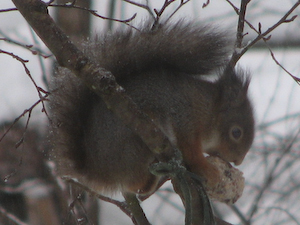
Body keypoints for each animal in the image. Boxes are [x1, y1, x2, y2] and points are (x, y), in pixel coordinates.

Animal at [48, 20, 253, 196]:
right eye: (236, 132)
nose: (239, 160)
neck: (209, 109)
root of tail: (96, 169)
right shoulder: (185, 118)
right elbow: (191, 151)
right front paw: (208, 171)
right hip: (134, 145)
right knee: (133, 182)